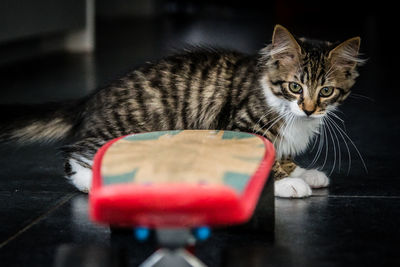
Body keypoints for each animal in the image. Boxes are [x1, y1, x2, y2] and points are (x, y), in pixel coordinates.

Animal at [0, 25, 364, 199]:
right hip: (127, 129)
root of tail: (93, 96)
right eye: (294, 87)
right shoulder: (237, 128)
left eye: (326, 91)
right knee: (75, 154)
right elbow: (258, 163)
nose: (309, 109)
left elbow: (282, 156)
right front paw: (286, 185)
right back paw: (96, 182)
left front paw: (302, 173)